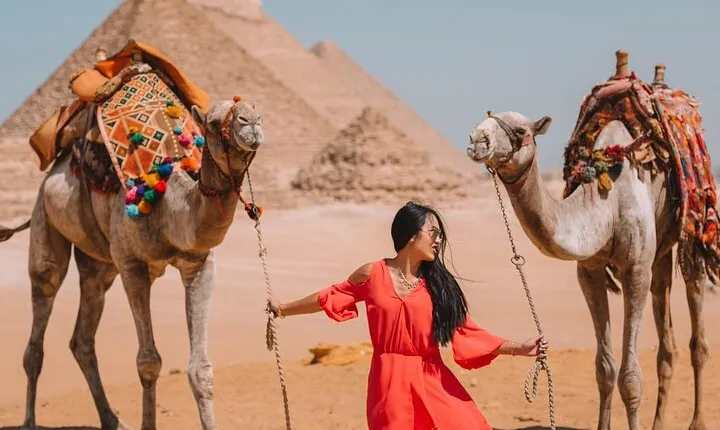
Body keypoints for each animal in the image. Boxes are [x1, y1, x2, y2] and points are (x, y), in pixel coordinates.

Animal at [0, 60, 265, 430]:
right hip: (45, 219)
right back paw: (29, 421)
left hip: (99, 265)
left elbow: (201, 369)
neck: (169, 202)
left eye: (255, 111)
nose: (251, 122)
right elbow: (148, 361)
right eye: (213, 123)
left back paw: (111, 419)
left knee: (83, 337)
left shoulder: (199, 265)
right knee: (40, 315)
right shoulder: (132, 267)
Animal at [465, 51, 710, 430]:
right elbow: (605, 369)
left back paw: (696, 421)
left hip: (692, 234)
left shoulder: (635, 270)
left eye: (520, 130)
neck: (605, 198)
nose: (477, 139)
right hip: (659, 254)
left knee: (697, 338)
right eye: (485, 118)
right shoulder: (590, 272)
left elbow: (630, 376)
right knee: (666, 344)